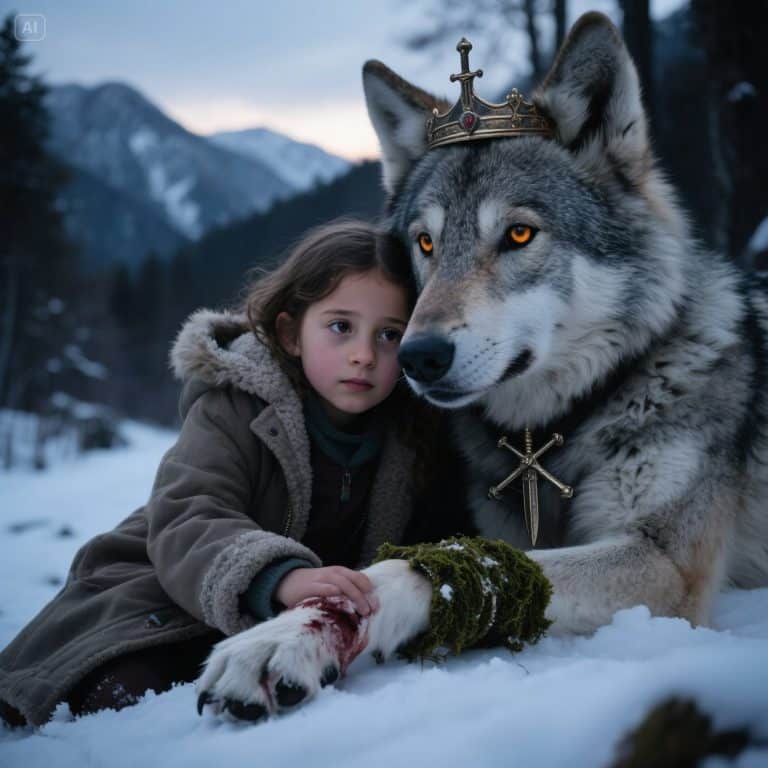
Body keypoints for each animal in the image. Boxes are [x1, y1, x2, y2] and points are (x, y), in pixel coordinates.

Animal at [196, 12, 768, 720]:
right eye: (425, 243)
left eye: (518, 234)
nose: (417, 356)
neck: (552, 437)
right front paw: (300, 631)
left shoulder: (666, 563)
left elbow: (419, 565)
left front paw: (281, 639)